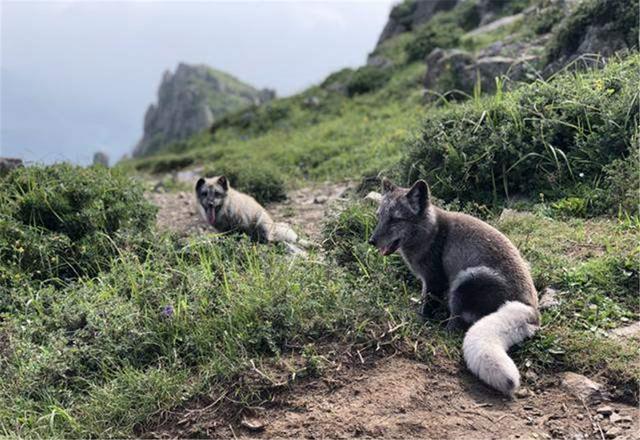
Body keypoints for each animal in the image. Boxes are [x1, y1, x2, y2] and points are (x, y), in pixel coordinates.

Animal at [368, 178, 536, 396]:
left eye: (396, 219)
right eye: (379, 216)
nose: (371, 241)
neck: (432, 232)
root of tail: (529, 309)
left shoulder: (434, 280)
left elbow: (426, 306)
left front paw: (419, 322)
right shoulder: (428, 282)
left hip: (464, 282)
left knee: (455, 328)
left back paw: (440, 332)